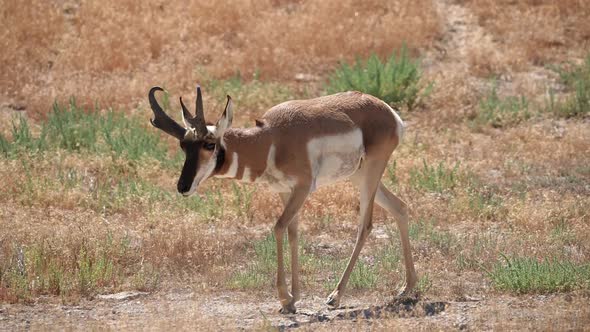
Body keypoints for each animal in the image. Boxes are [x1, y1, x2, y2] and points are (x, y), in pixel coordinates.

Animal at [147, 84, 420, 312]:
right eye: (183, 146)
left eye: (209, 144)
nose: (183, 186)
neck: (271, 138)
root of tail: (388, 111)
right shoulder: (284, 192)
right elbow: (292, 233)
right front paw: (294, 298)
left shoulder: (302, 188)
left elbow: (278, 228)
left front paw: (285, 298)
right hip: (360, 176)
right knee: (400, 207)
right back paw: (407, 289)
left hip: (370, 174)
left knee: (366, 225)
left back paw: (335, 296)